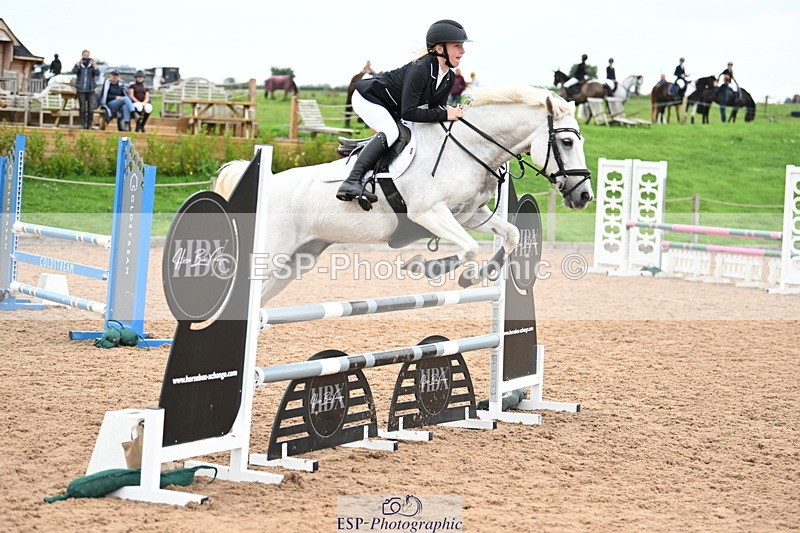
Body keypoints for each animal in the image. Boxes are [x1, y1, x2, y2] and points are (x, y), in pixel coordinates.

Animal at [213, 85, 594, 306]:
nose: (585, 196)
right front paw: (430, 267)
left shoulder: (471, 215)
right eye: (566, 141)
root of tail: (269, 183)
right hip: (273, 253)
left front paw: (475, 276)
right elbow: (469, 247)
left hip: (298, 259)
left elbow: (511, 234)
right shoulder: (429, 213)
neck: (469, 147)